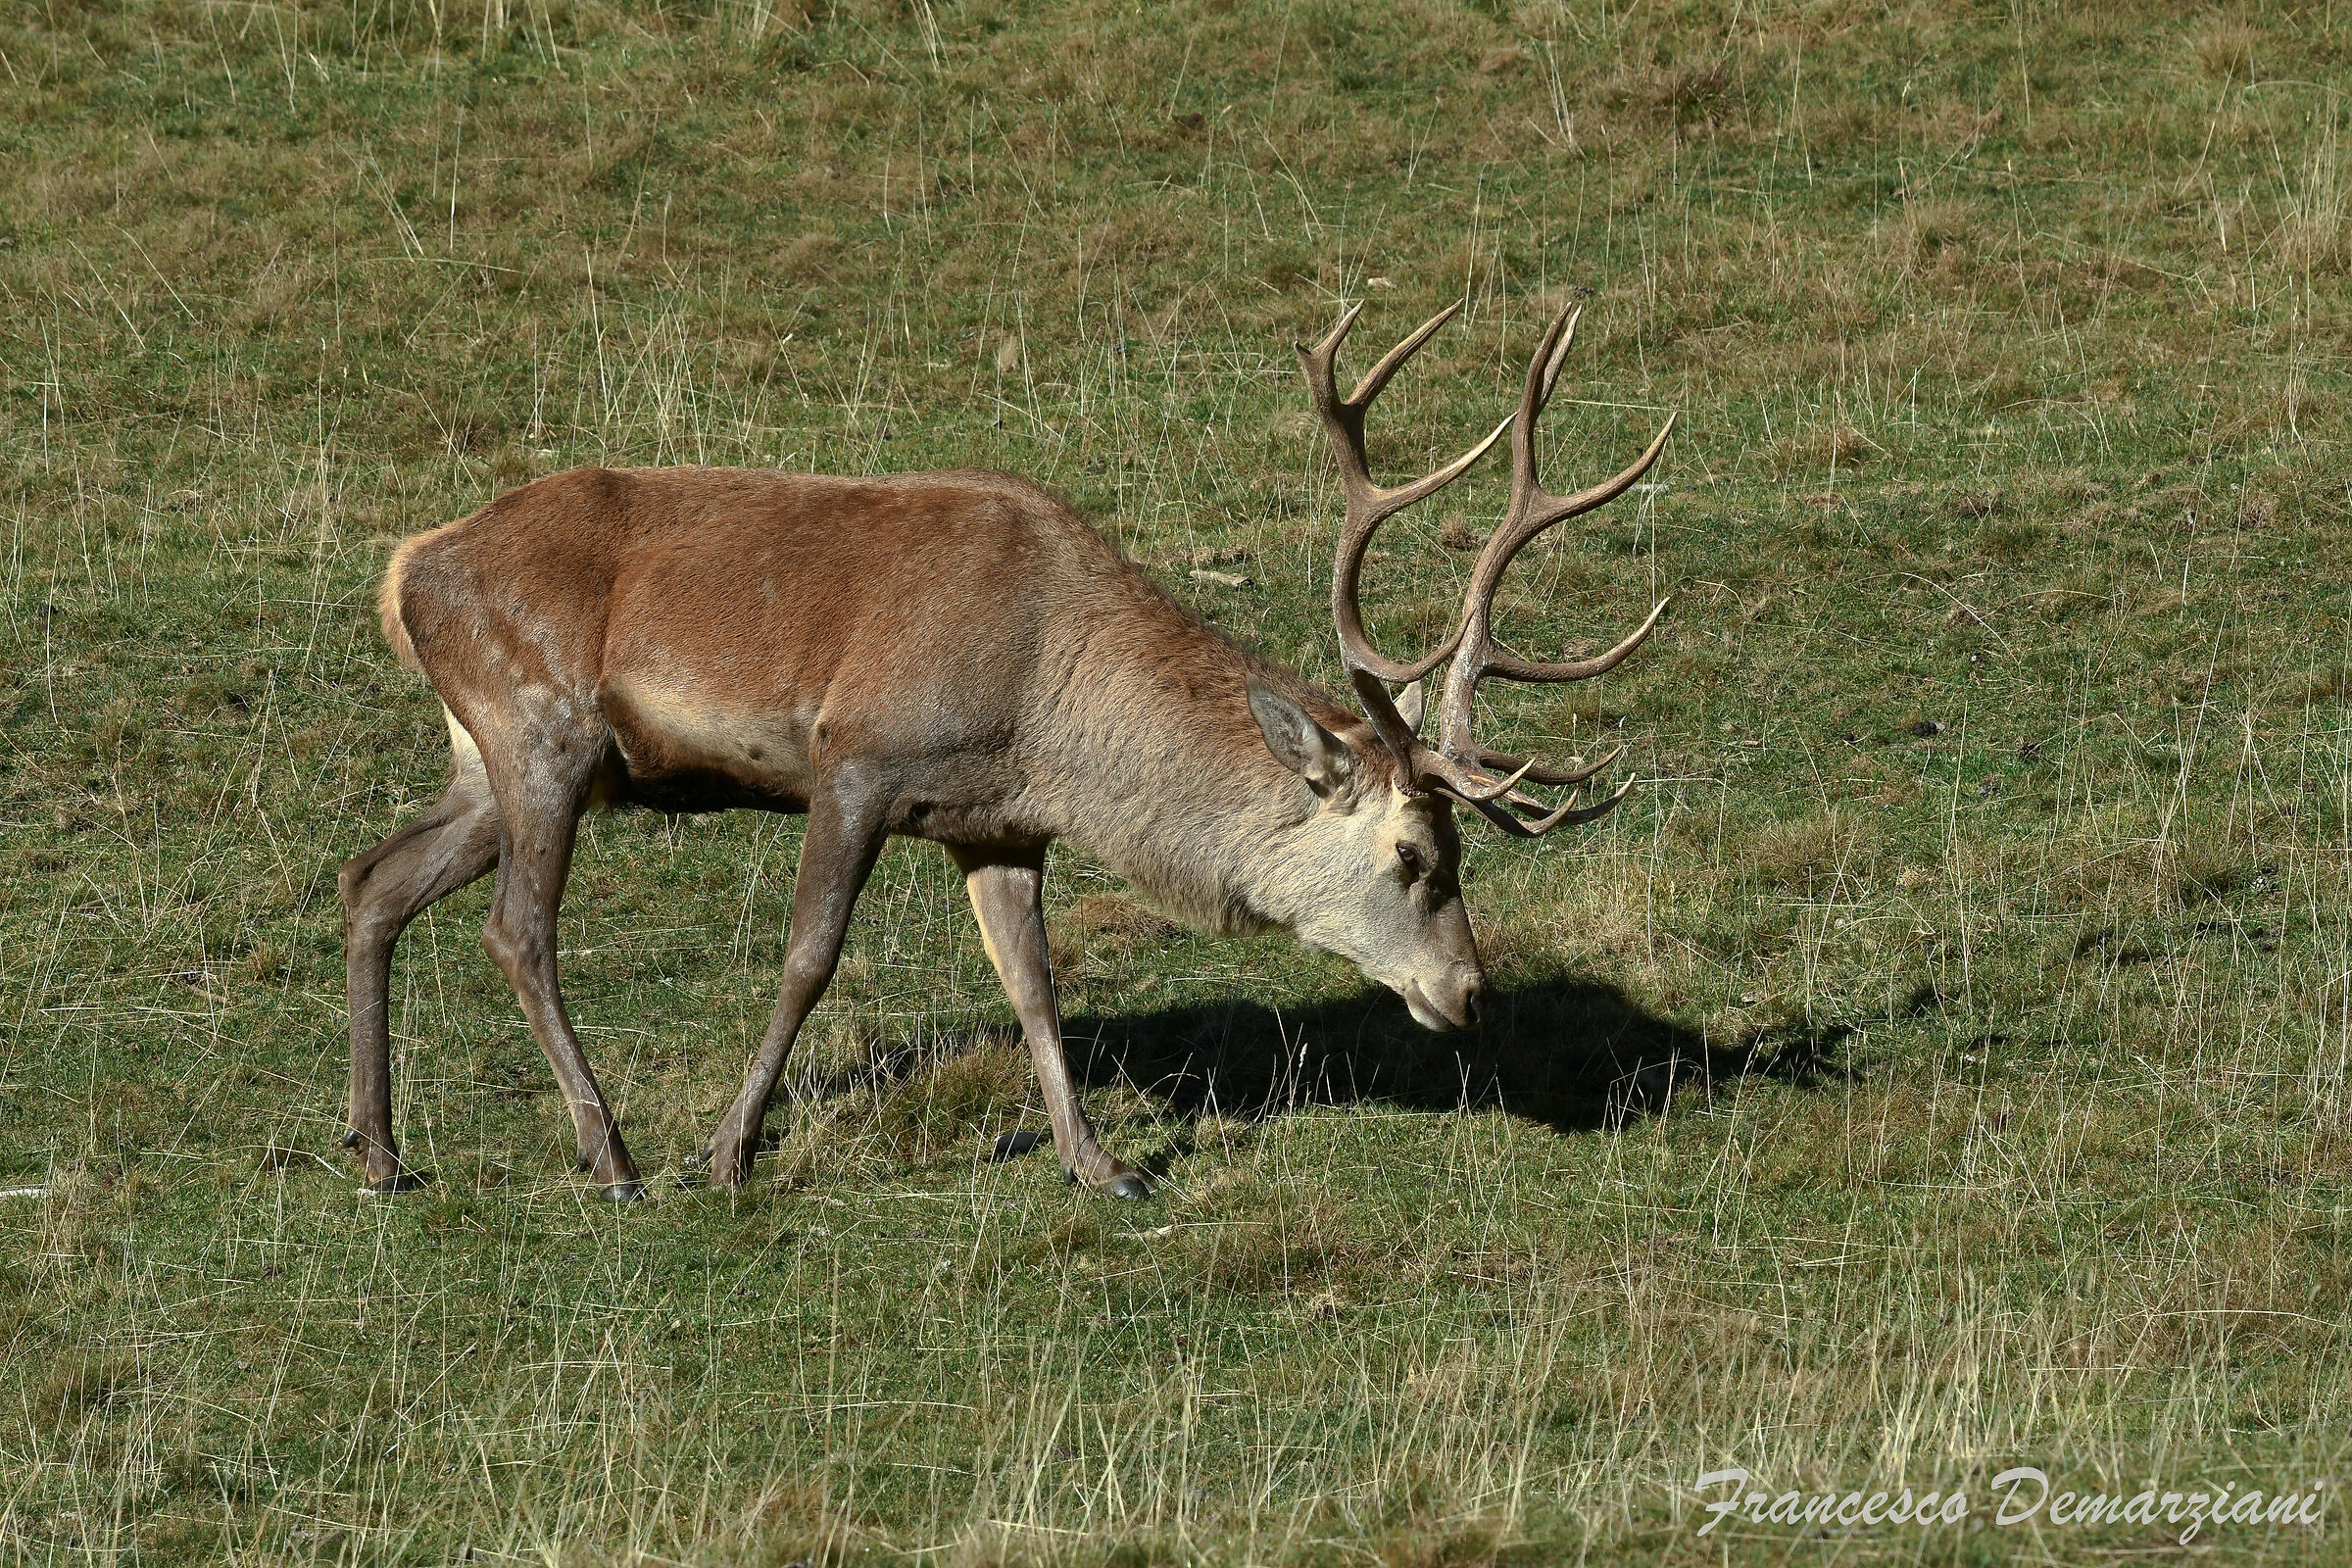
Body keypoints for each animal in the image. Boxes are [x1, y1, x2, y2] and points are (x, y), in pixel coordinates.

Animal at [339, 299, 1672, 1201]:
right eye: (1411, 854)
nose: (1471, 992)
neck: (1045, 718)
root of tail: (407, 570)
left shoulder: (995, 826)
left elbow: (1035, 983)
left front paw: (1102, 1162)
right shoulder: (858, 757)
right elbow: (808, 957)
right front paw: (732, 1148)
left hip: (490, 759)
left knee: (372, 882)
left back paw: (381, 1149)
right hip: (541, 728)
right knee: (516, 928)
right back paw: (610, 1152)